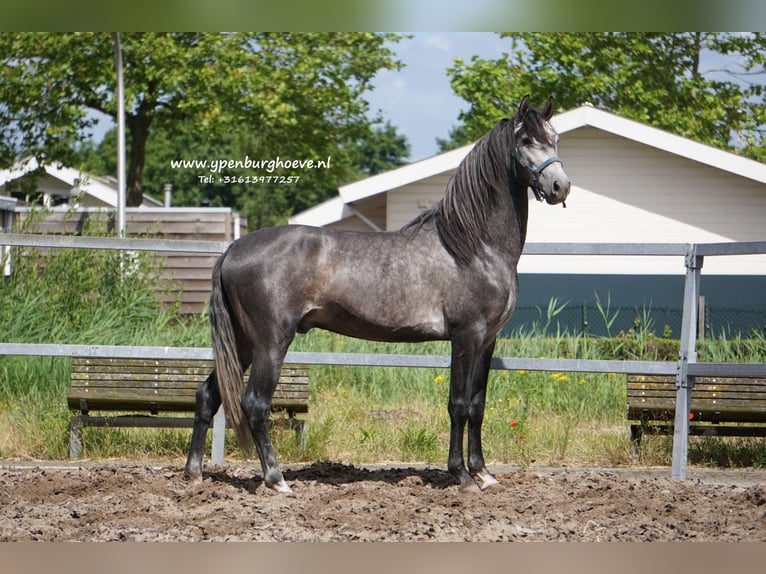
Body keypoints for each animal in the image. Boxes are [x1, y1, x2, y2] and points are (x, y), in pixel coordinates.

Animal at [184, 94, 568, 496]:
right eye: (525, 139)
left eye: (555, 138)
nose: (560, 186)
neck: (473, 247)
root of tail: (233, 249)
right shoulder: (466, 336)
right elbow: (459, 404)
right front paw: (461, 476)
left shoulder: (488, 341)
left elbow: (478, 406)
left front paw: (483, 474)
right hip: (270, 343)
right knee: (255, 404)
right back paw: (276, 480)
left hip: (243, 342)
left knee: (207, 396)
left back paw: (194, 474)